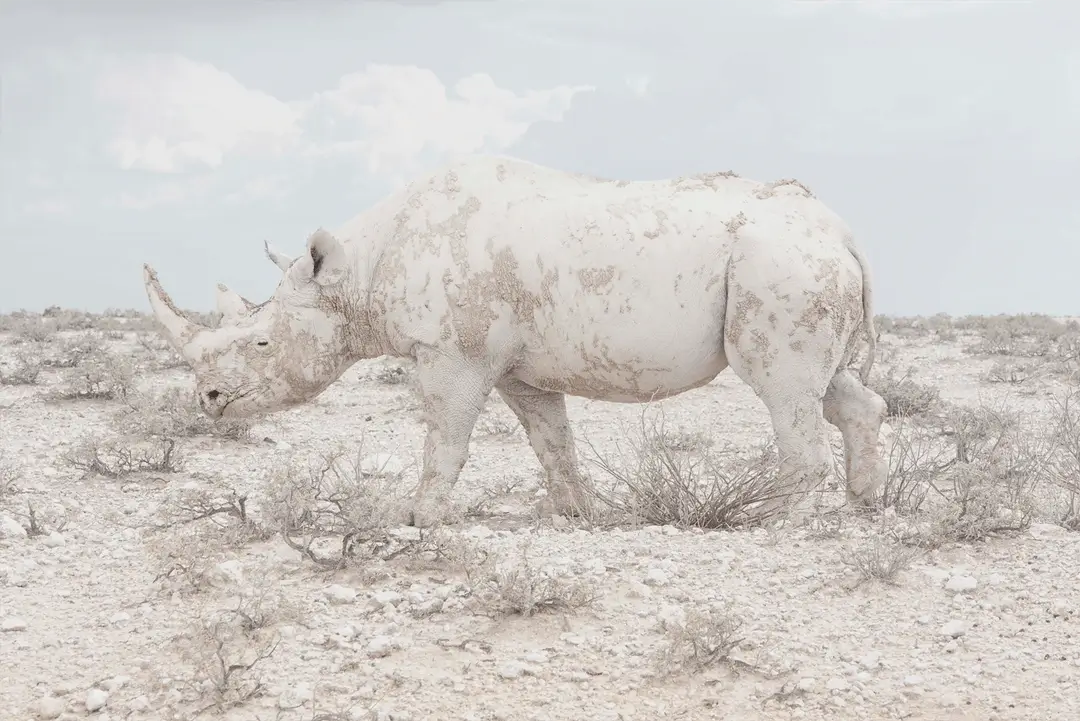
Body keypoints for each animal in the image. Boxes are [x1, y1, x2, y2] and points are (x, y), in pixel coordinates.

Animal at [142, 155, 888, 527]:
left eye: (261, 346)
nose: (209, 398)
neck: (357, 273)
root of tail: (840, 229)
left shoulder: (452, 355)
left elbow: (444, 438)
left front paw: (415, 517)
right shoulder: (514, 367)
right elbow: (550, 440)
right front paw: (574, 515)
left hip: (779, 265)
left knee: (783, 388)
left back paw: (780, 524)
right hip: (795, 262)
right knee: (829, 389)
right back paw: (863, 506)